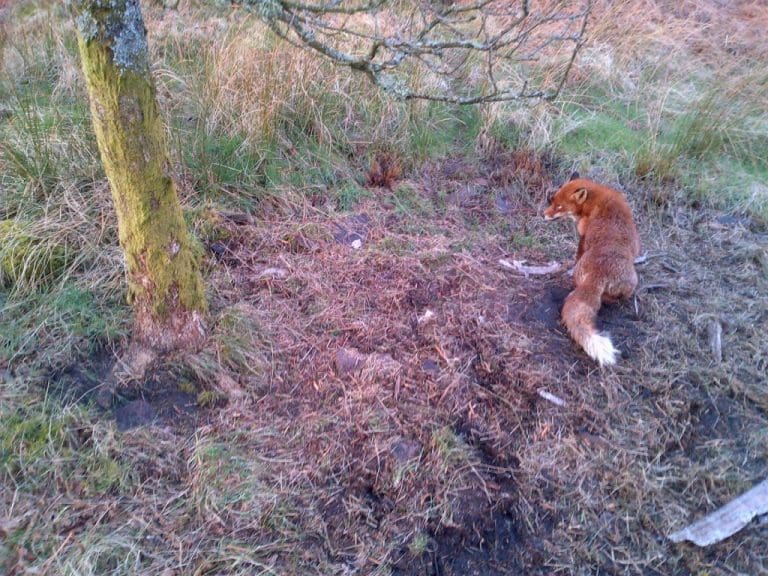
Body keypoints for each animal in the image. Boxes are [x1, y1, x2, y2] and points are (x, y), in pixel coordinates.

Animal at [543, 174, 640, 366]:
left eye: (559, 207)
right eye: (552, 201)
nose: (543, 215)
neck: (597, 198)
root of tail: (599, 273)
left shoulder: (583, 234)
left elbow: (577, 253)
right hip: (632, 281)